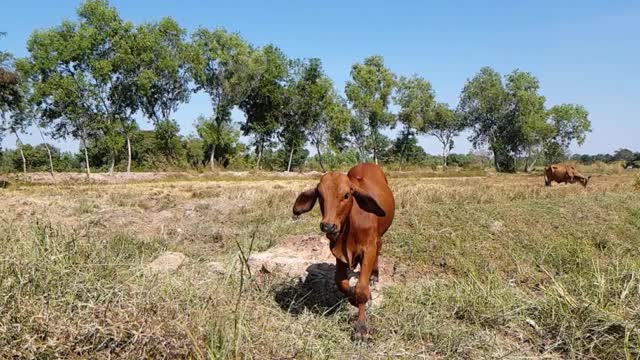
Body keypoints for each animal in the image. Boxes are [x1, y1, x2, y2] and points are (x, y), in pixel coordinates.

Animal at [292, 163, 392, 340]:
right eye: (320, 194)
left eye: (346, 195)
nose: (328, 226)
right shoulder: (339, 253)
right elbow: (341, 283)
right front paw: (352, 298)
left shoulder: (369, 248)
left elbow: (361, 289)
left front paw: (361, 329)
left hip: (379, 237)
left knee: (379, 249)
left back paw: (374, 274)